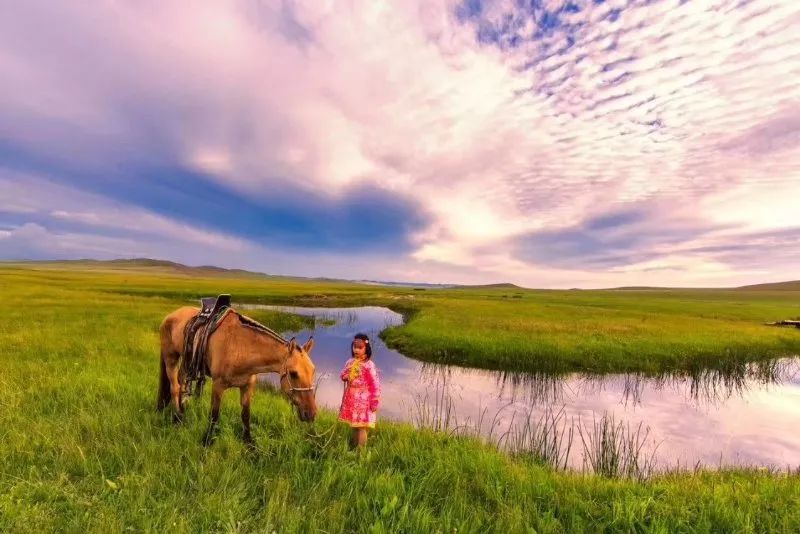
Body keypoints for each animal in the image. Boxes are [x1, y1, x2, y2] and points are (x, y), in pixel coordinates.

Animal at [158, 308, 318, 446]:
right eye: (293, 374)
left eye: (313, 371)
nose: (311, 414)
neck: (240, 346)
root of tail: (170, 316)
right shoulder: (218, 386)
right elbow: (214, 415)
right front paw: (207, 441)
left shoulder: (247, 386)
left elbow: (246, 415)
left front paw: (249, 444)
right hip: (171, 359)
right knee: (174, 387)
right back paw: (178, 418)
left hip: (186, 362)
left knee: (181, 383)